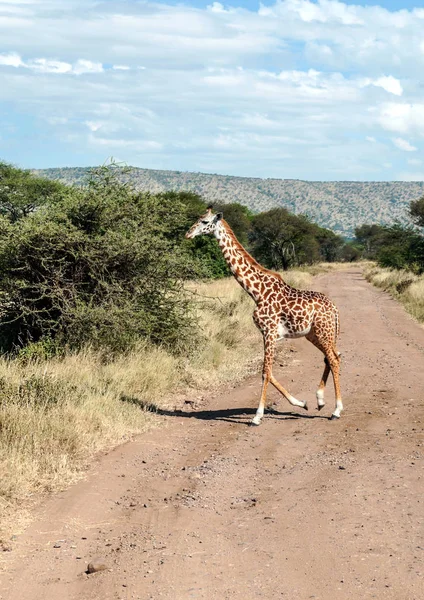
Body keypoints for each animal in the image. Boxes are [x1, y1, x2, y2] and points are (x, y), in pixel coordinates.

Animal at [184, 206, 342, 426]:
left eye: (205, 222)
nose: (188, 234)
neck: (256, 291)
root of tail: (334, 308)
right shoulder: (266, 334)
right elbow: (270, 372)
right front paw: (301, 403)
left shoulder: (269, 331)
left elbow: (265, 372)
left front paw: (257, 416)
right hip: (314, 334)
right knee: (332, 357)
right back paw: (319, 400)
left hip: (323, 332)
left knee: (334, 359)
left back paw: (336, 410)